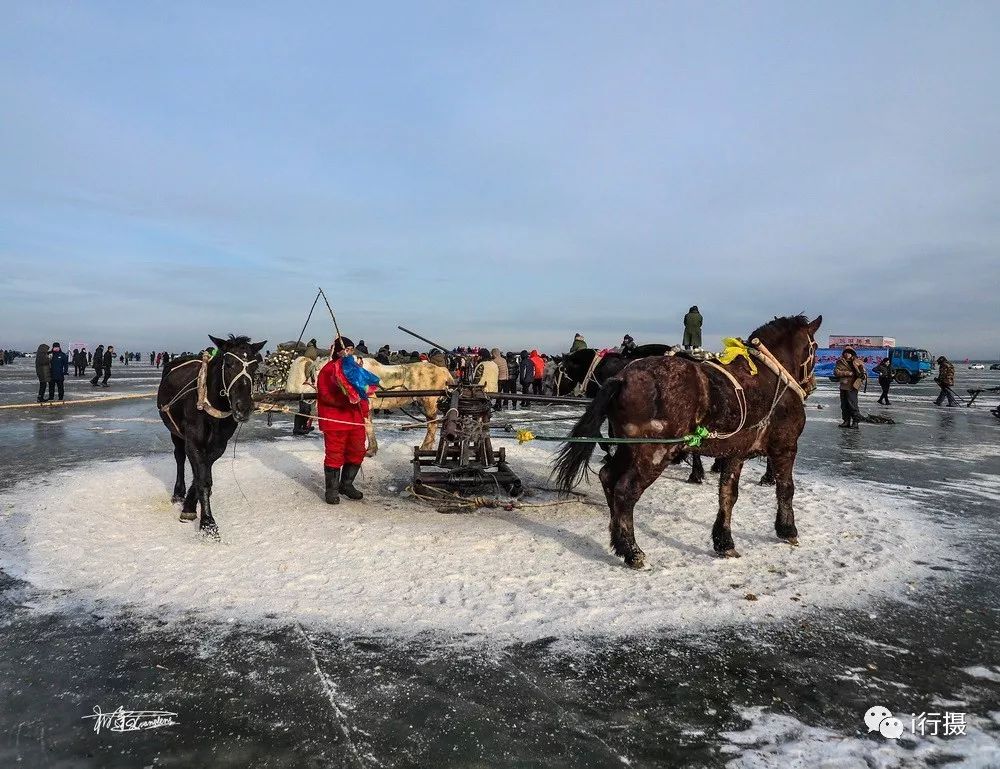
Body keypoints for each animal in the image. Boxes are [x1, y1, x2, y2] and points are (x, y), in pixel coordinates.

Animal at [156, 332, 266, 536]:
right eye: (229, 363)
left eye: (255, 365)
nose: (244, 407)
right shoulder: (193, 440)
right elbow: (202, 477)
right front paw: (207, 522)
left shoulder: (219, 444)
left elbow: (204, 473)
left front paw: (192, 504)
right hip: (174, 431)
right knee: (179, 456)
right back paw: (178, 492)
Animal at [556, 314, 820, 568]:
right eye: (815, 347)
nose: (812, 384)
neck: (770, 375)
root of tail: (622, 378)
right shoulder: (786, 447)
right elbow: (786, 489)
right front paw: (787, 529)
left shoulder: (735, 452)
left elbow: (728, 495)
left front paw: (724, 541)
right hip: (654, 453)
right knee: (625, 491)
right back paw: (632, 551)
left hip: (631, 449)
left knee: (608, 477)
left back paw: (618, 539)